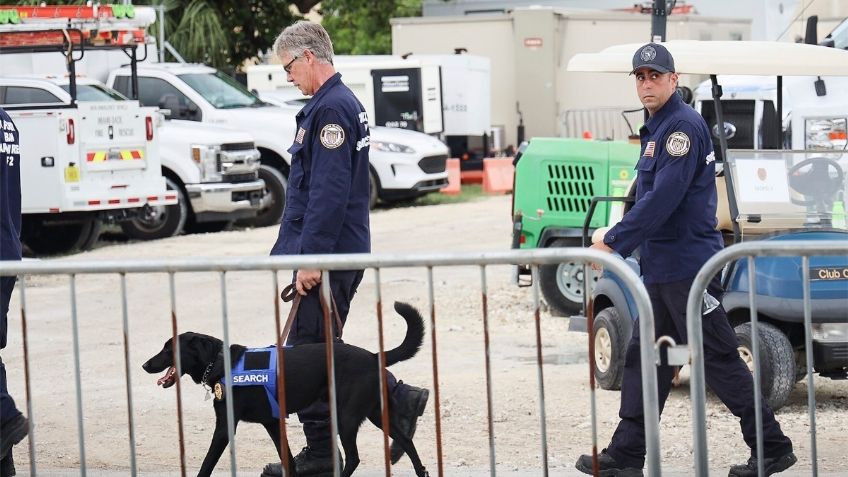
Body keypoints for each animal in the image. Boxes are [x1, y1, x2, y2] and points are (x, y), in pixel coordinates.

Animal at [143, 302, 430, 476]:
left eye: (168, 349)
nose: (145, 364)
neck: (221, 362)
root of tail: (373, 356)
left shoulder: (225, 427)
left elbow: (207, 462)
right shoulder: (272, 422)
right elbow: (288, 460)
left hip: (346, 417)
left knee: (354, 457)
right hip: (374, 412)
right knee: (405, 440)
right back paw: (421, 471)